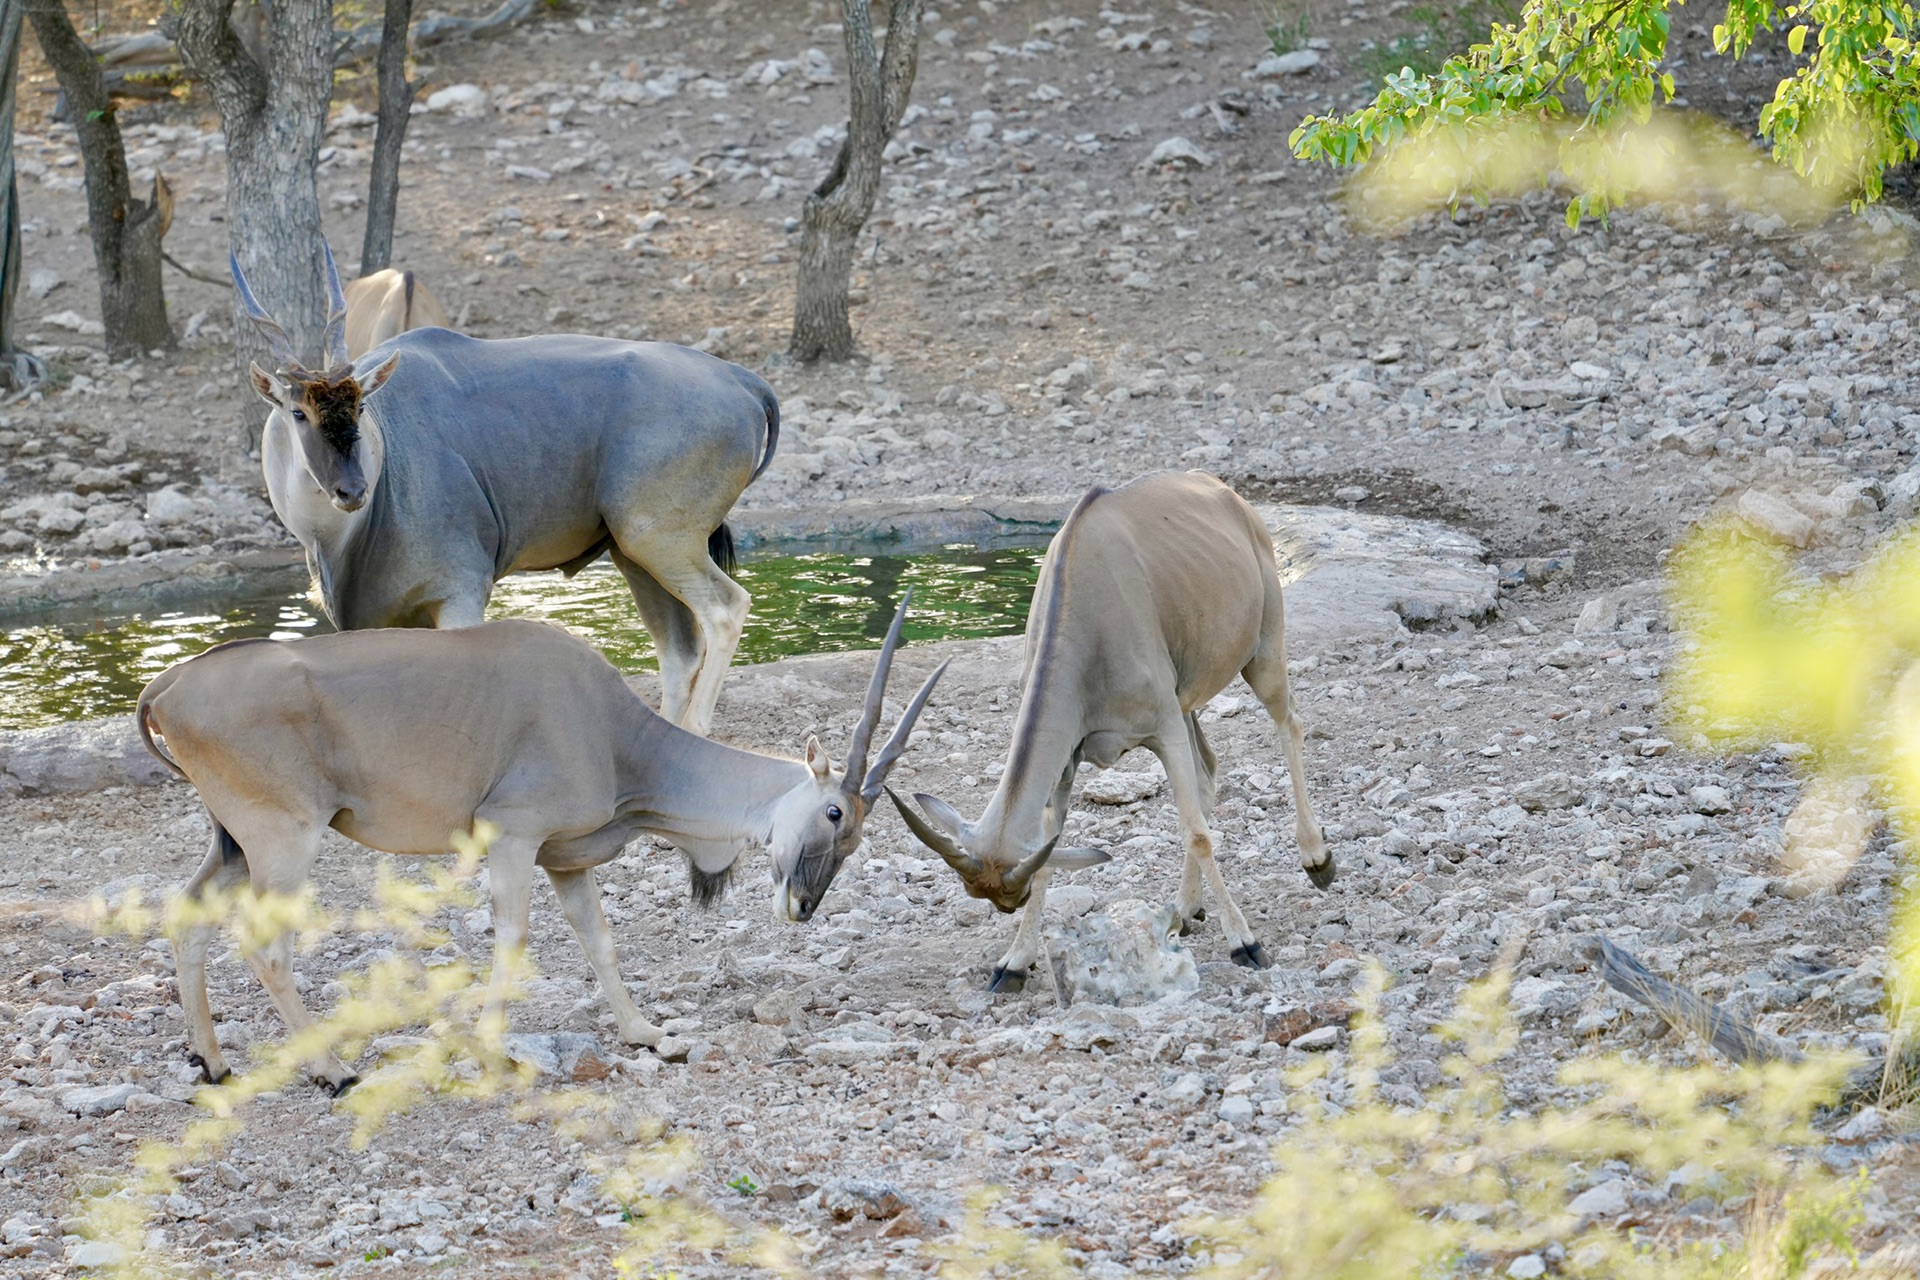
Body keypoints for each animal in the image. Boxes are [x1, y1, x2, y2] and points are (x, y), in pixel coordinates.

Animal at [135, 594, 944, 1090]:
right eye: (835, 814)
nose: (803, 905)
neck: (616, 734)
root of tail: (169, 686)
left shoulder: (564, 861)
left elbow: (599, 941)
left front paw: (647, 1033)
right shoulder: (514, 837)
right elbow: (514, 936)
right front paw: (493, 1048)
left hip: (234, 846)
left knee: (187, 918)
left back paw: (212, 1061)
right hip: (285, 841)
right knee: (265, 946)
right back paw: (332, 1069)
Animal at [236, 245, 775, 736]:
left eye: (361, 407)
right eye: (298, 412)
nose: (351, 490)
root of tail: (742, 379)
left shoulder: (459, 595)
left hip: (662, 543)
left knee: (724, 611)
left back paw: (698, 729)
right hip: (635, 553)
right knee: (679, 651)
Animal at [887, 470, 1328, 990]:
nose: (1008, 904)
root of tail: (1225, 493)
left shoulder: (1162, 727)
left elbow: (1197, 833)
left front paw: (1245, 942)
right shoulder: (1071, 758)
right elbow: (1053, 849)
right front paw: (1013, 961)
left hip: (1262, 654)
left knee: (1289, 723)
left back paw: (1317, 859)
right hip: (1187, 705)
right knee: (1208, 772)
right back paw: (1185, 909)